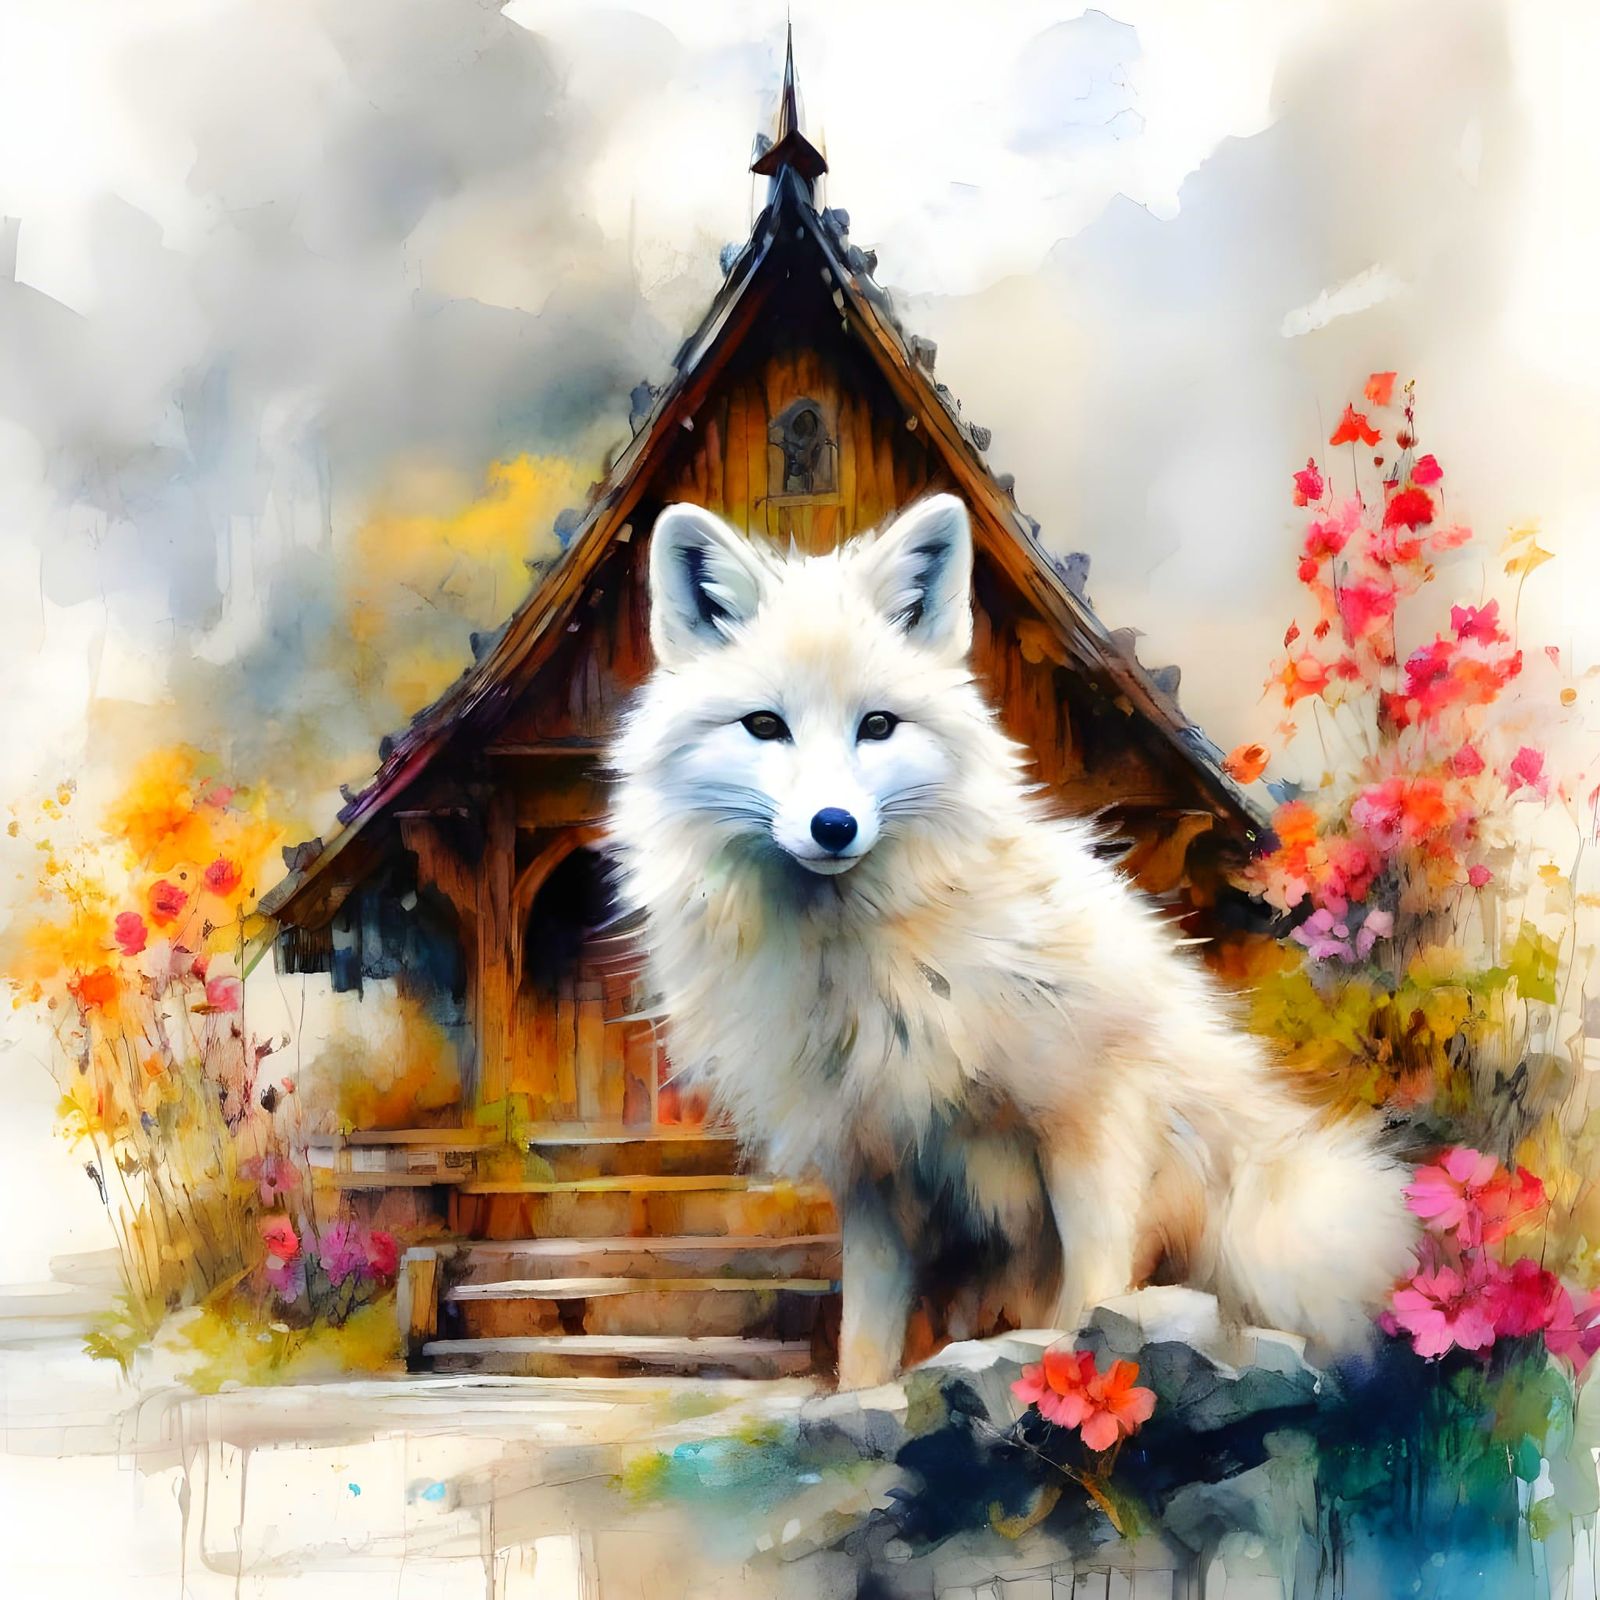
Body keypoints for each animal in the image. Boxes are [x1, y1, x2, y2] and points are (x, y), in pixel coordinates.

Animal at [607, 493, 1417, 1389]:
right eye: (764, 726)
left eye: (877, 725)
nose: (833, 826)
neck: (868, 966)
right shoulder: (873, 1166)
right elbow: (866, 1345)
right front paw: (862, 1400)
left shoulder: (1094, 1111)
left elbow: (1095, 1294)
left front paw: (1085, 1387)